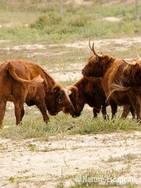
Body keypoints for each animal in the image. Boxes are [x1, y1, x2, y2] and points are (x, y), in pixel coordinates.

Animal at [0, 42, 140, 128]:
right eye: (62, 98)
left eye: (72, 98)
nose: (73, 113)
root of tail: (9, 65)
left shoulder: (102, 102)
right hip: (11, 99)